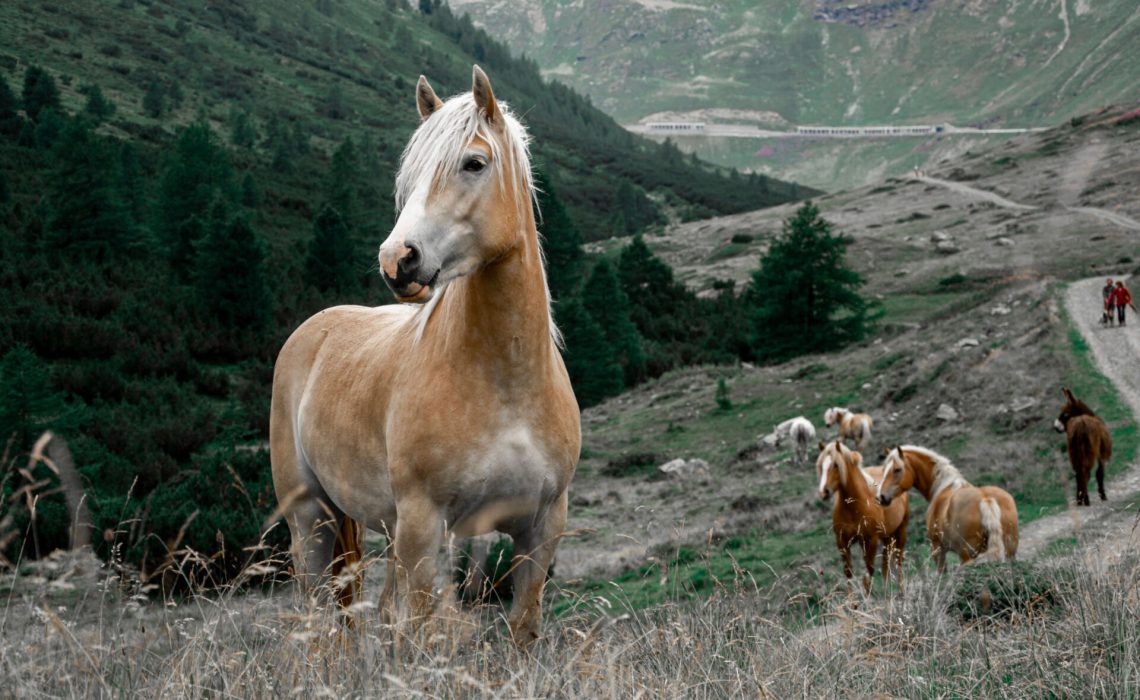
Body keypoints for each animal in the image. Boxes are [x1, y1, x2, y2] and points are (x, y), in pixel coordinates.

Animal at [269, 66, 581, 646]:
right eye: (409, 174)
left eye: (474, 163)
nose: (398, 260)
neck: (506, 384)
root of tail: (314, 328)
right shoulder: (422, 523)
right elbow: (420, 633)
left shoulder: (541, 528)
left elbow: (521, 629)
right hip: (311, 519)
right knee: (318, 616)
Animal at [815, 441, 909, 593]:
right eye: (821, 465)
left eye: (836, 465)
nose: (824, 492)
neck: (854, 506)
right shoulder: (842, 542)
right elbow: (849, 574)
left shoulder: (870, 541)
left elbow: (868, 576)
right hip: (886, 537)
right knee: (885, 566)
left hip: (900, 532)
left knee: (898, 563)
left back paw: (902, 593)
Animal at [876, 445, 1018, 571]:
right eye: (883, 470)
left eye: (897, 470)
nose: (881, 496)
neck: (943, 485)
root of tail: (986, 499)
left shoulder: (938, 549)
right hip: (1009, 554)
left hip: (966, 555)